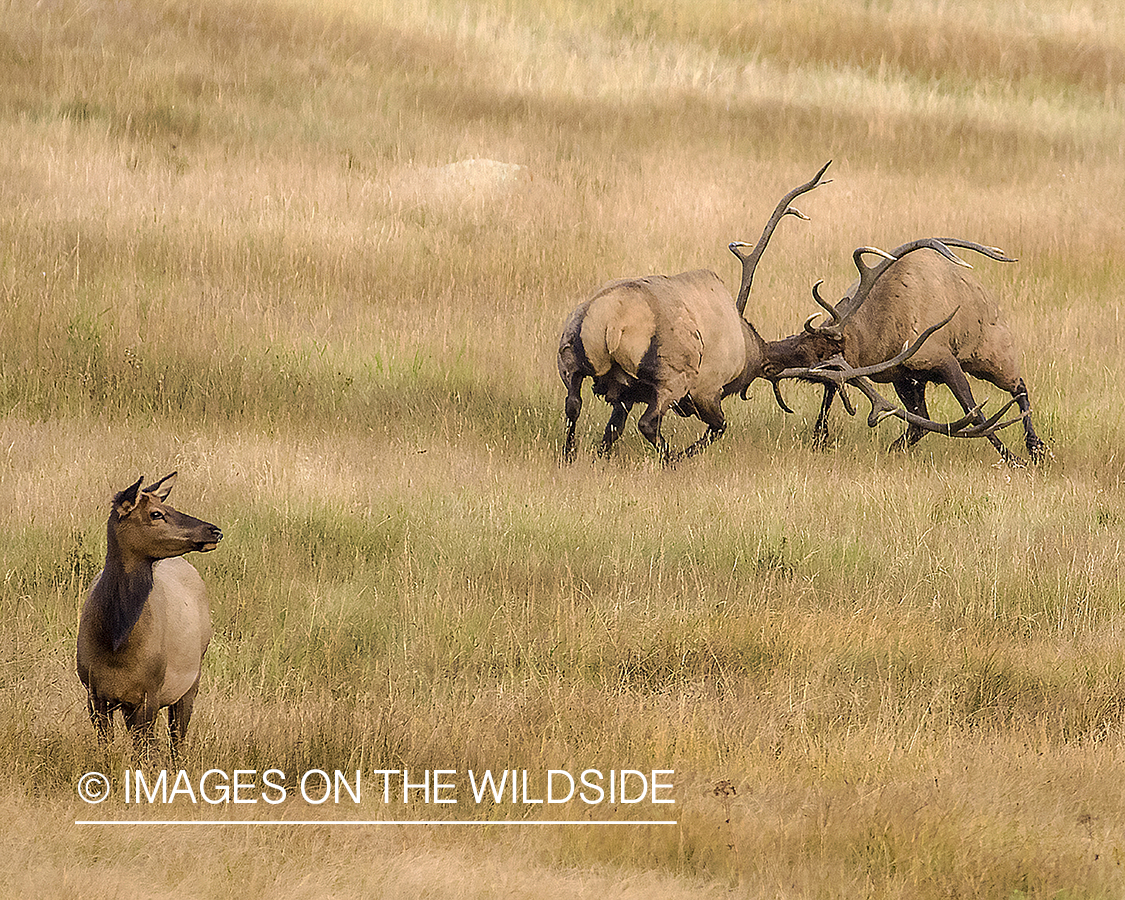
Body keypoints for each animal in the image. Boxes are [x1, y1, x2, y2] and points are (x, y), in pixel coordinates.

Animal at [76, 470, 221, 760]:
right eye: (156, 513)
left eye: (169, 506)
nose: (215, 530)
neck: (116, 645)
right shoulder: (93, 691)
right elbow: (107, 749)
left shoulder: (150, 691)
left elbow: (145, 752)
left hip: (192, 678)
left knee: (177, 739)